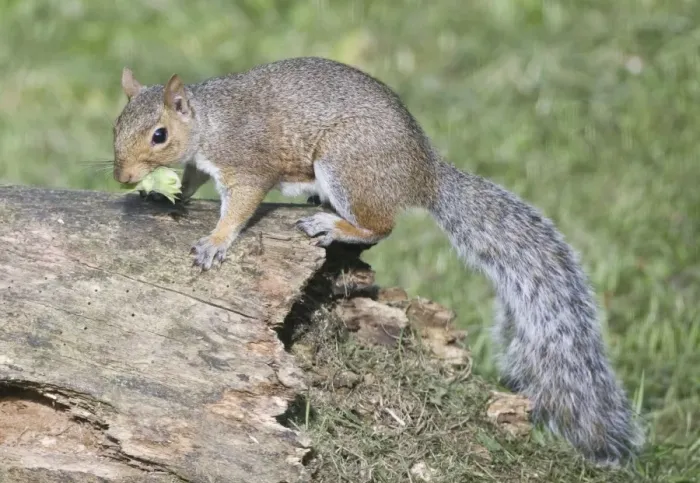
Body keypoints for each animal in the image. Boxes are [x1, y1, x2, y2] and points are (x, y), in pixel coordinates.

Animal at [112, 56, 643, 465]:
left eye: (159, 134)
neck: (209, 122)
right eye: (117, 126)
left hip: (347, 164)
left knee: (382, 225)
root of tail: (423, 174)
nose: (122, 176)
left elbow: (240, 206)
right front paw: (169, 195)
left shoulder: (247, 165)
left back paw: (333, 225)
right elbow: (192, 179)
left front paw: (216, 241)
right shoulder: (203, 164)